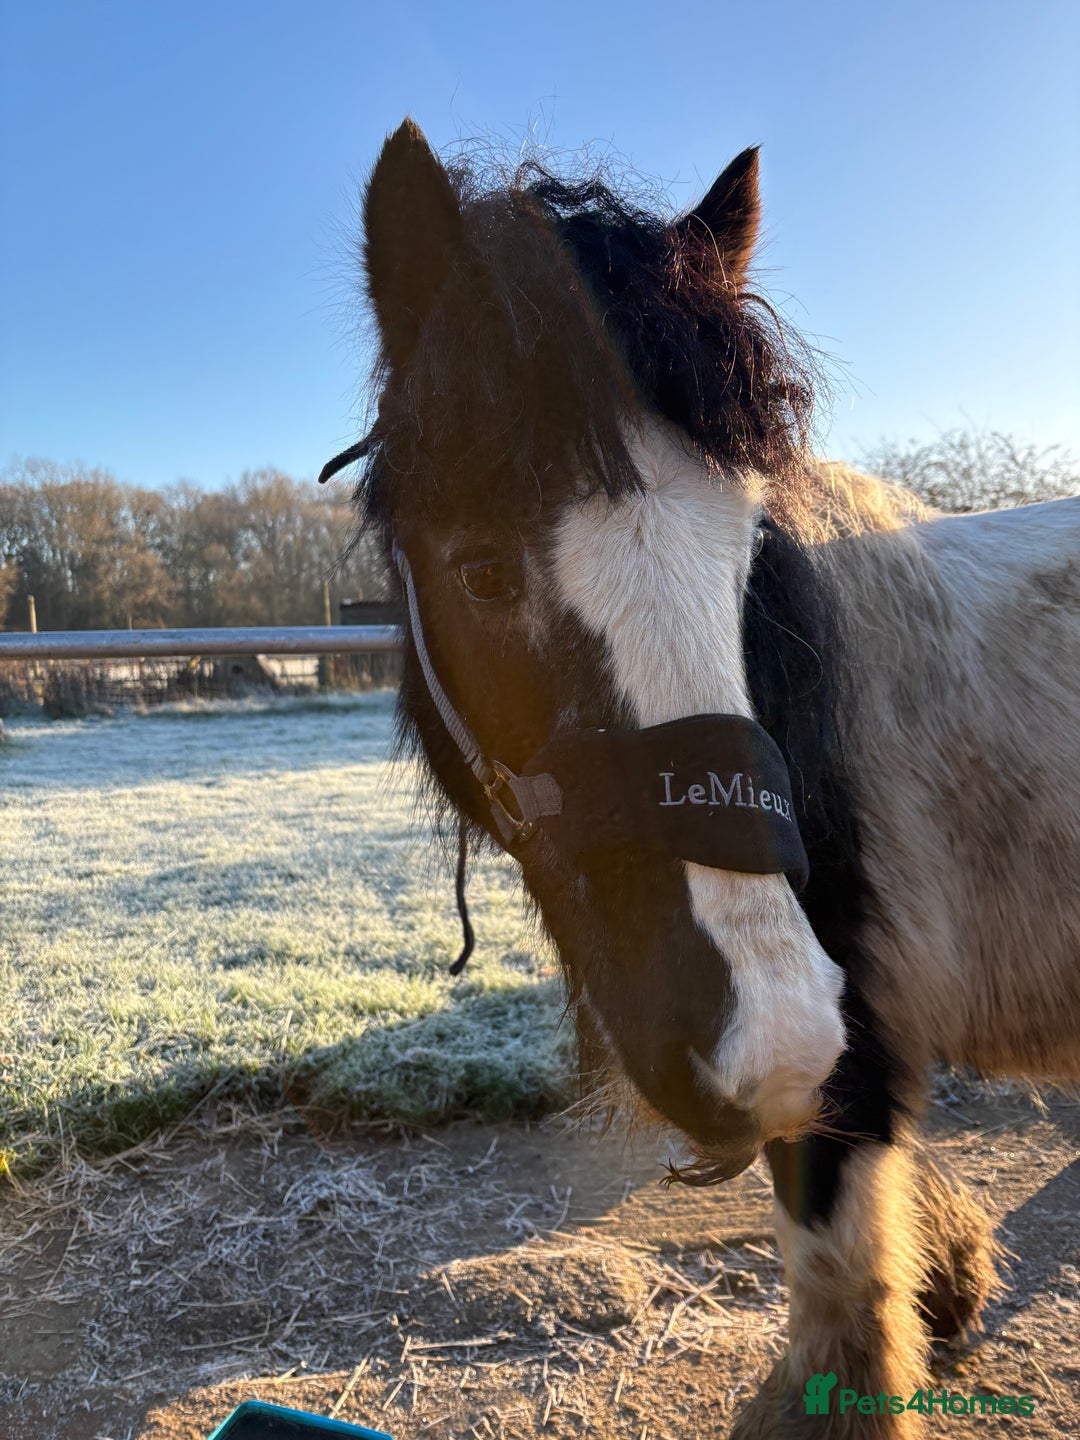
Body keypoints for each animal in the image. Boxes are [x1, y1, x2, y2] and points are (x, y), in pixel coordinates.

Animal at [322, 119, 1080, 1436]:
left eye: (746, 553)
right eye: (479, 570)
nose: (767, 1041)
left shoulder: (850, 1069)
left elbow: (844, 1304)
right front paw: (949, 1280)